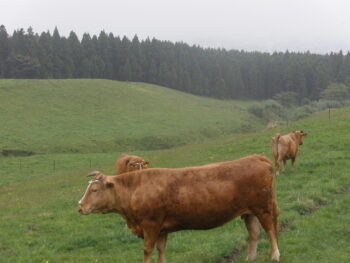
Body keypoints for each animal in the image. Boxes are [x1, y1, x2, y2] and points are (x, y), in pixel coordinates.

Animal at [78, 156, 280, 262]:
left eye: (94, 190)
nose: (80, 206)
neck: (135, 188)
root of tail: (256, 158)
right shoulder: (161, 229)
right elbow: (161, 250)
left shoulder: (150, 225)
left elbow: (147, 250)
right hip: (249, 212)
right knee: (254, 234)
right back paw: (250, 258)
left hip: (263, 209)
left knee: (270, 231)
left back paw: (275, 256)